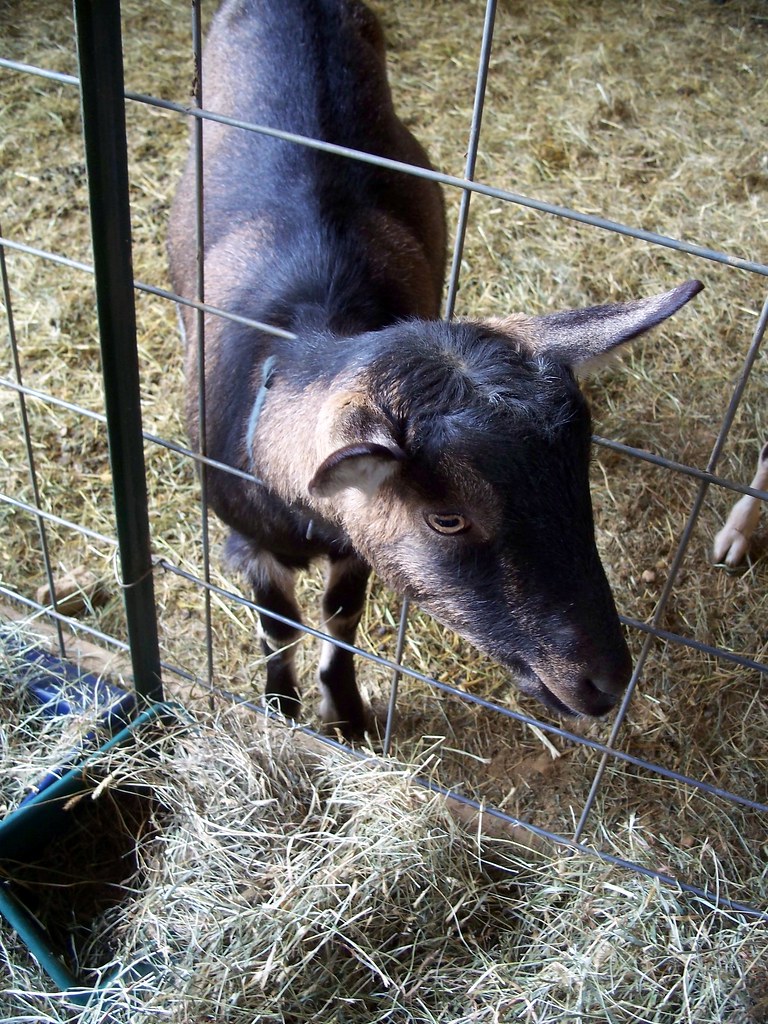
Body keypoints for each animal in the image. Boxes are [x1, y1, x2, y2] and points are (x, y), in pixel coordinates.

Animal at [168, 0, 703, 736]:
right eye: (446, 518)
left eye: (578, 480)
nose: (606, 680)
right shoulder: (251, 540)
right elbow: (280, 627)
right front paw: (282, 710)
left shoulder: (355, 542)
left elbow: (342, 616)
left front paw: (348, 714)